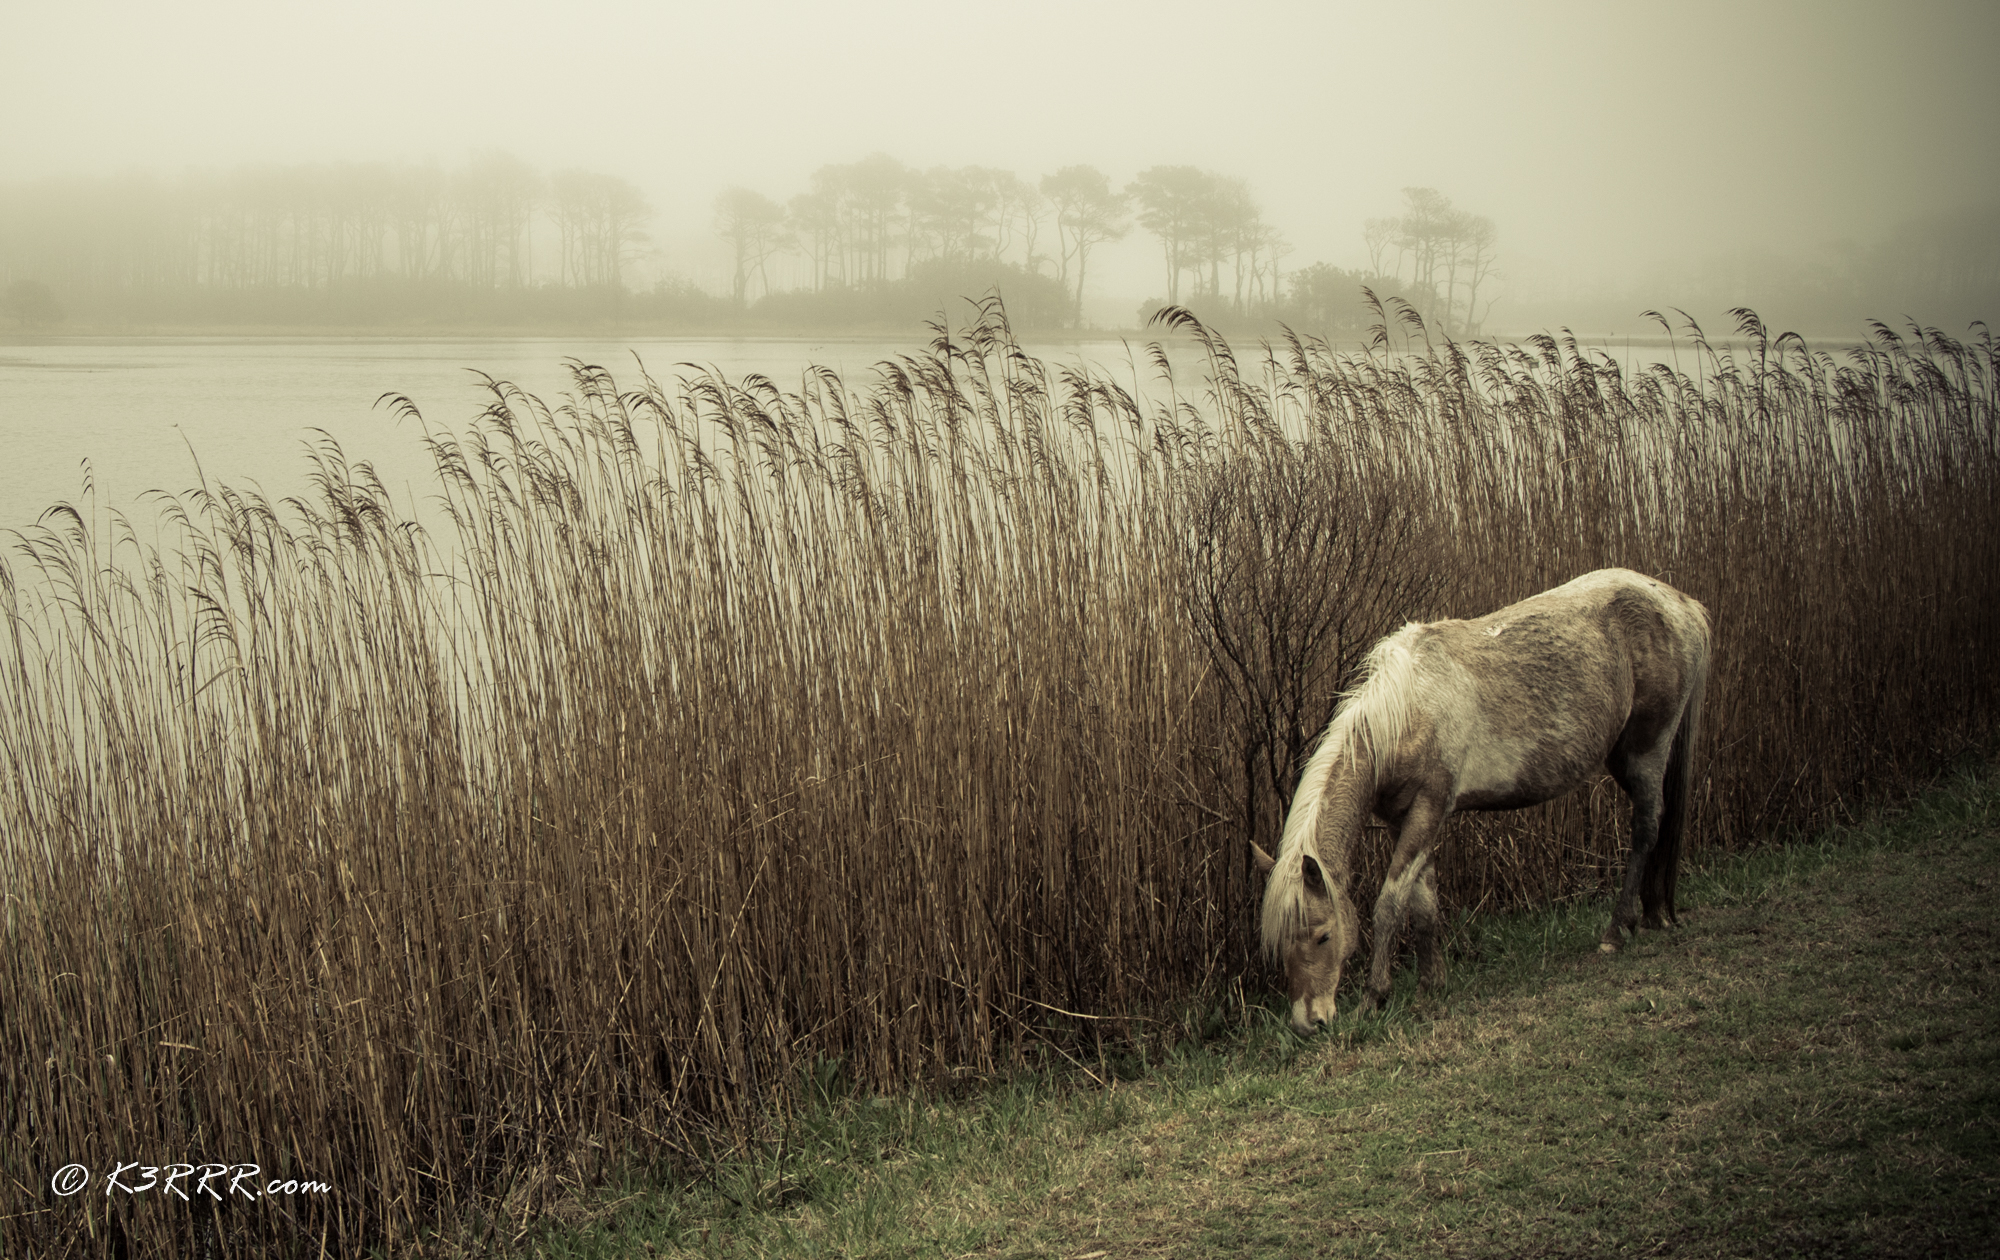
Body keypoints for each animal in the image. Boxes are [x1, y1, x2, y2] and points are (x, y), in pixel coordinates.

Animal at [1252, 568, 1710, 1036]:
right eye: (1280, 944)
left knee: (1646, 829)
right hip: (1622, 755)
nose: (1308, 1022)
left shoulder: (1428, 809)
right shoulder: (1406, 819)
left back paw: (1616, 931)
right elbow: (1424, 904)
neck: (1406, 713)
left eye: (1323, 935)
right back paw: (1649, 916)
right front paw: (1431, 985)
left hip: (1647, 749)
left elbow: (1390, 903)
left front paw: (1374, 998)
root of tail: (1681, 603)